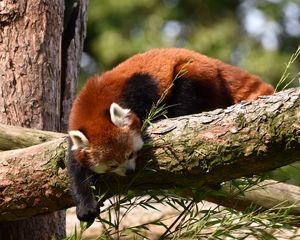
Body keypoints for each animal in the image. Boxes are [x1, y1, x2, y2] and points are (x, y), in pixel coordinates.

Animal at [67, 47, 274, 221]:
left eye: (131, 154)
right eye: (112, 165)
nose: (129, 171)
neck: (93, 105)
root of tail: (211, 61)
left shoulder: (139, 87)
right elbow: (76, 172)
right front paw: (85, 206)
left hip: (194, 73)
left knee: (186, 92)